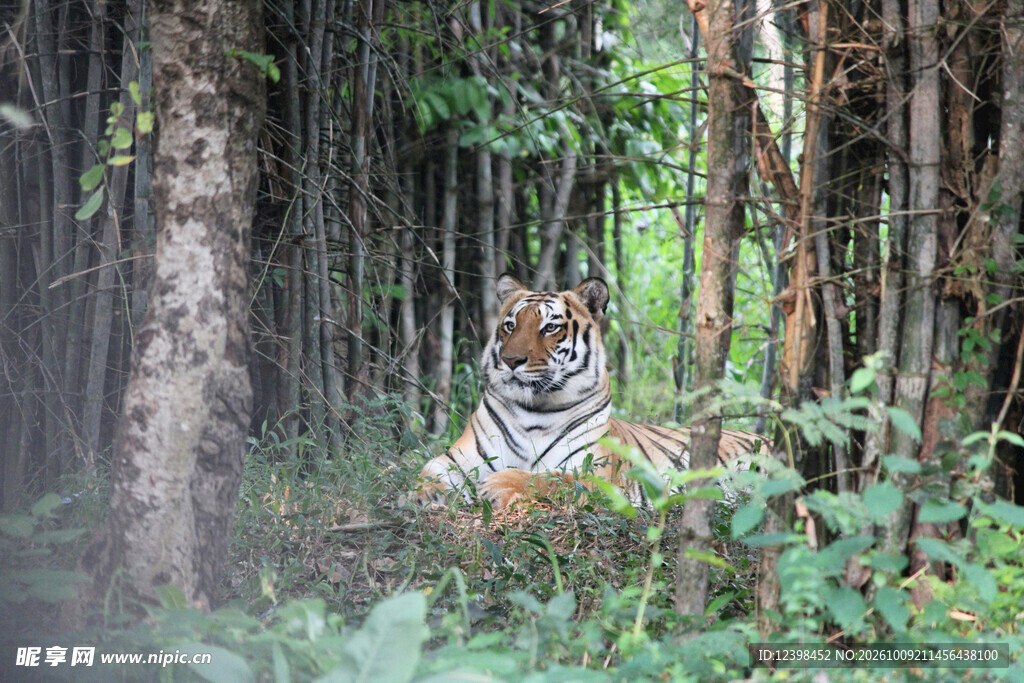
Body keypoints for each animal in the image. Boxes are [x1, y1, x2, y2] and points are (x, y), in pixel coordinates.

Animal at [417, 273, 769, 509]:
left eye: (549, 327)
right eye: (510, 326)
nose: (511, 360)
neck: (534, 410)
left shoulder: (594, 475)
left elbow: (547, 477)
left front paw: (498, 483)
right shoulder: (459, 456)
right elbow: (430, 469)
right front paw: (426, 493)